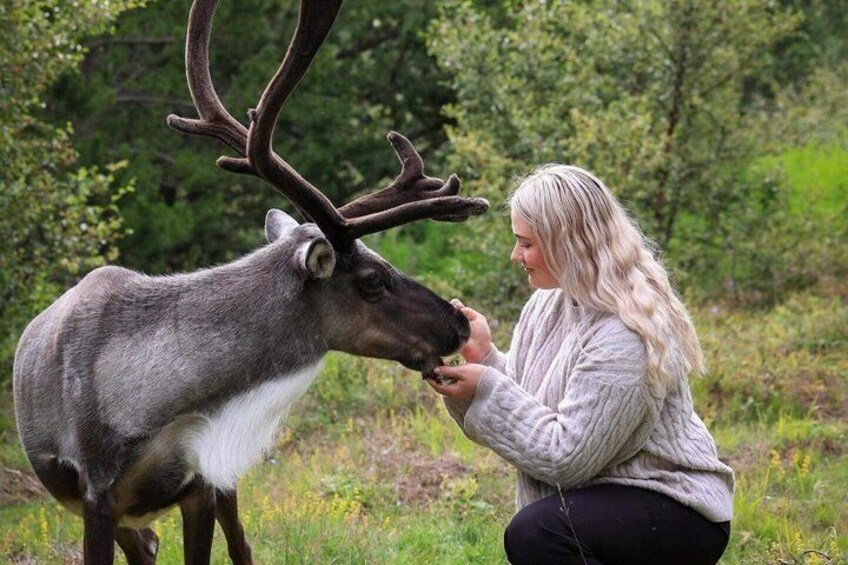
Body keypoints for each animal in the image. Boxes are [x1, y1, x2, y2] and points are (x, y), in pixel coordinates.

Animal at [12, 0, 488, 563]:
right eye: (374, 279)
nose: (459, 322)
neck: (155, 404)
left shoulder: (200, 482)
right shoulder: (98, 494)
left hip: (220, 486)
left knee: (236, 543)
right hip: (127, 513)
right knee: (148, 544)